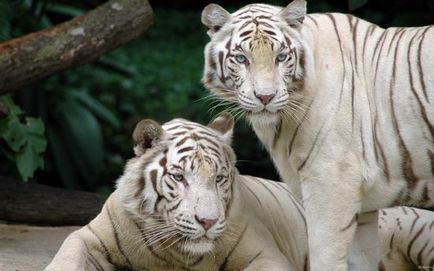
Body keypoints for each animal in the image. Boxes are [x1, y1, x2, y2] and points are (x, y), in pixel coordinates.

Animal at [45, 113, 308, 271]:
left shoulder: (266, 255)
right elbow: (68, 258)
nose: (208, 222)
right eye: (179, 177)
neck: (175, 254)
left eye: (219, 178)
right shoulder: (88, 236)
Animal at [201, 1, 434, 270]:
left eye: (281, 57)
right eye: (241, 58)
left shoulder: (331, 185)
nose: (266, 97)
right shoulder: (363, 209)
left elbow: (325, 256)